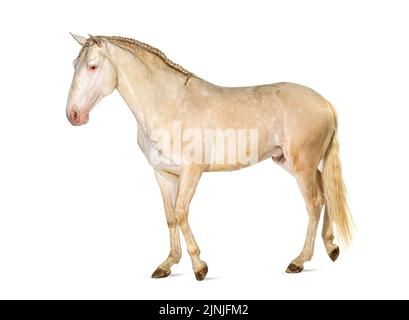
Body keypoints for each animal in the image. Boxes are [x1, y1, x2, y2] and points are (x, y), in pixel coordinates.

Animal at [66, 33, 350, 282]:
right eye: (74, 65)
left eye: (92, 66)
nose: (74, 115)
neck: (169, 105)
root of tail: (324, 102)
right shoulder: (163, 174)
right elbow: (170, 216)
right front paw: (167, 265)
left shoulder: (192, 171)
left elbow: (181, 213)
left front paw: (199, 267)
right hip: (291, 162)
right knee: (326, 191)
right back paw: (331, 248)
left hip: (302, 166)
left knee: (314, 203)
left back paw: (299, 261)